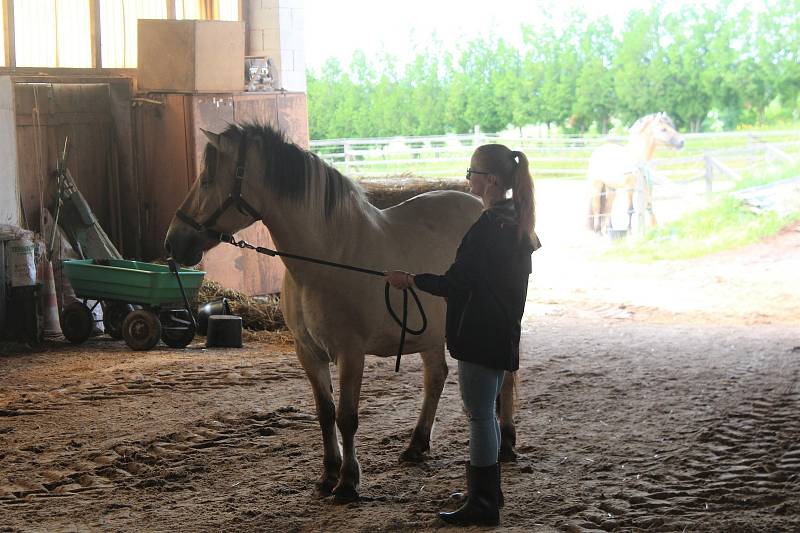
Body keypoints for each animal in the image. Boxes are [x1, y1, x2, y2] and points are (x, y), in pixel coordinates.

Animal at [165, 124, 520, 502]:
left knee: (506, 379)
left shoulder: (350, 353)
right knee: (436, 377)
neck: (328, 257)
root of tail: (483, 207)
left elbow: (347, 416)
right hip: (431, 332)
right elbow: (325, 413)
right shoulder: (308, 353)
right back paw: (417, 445)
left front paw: (348, 482)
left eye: (206, 180)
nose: (173, 242)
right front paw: (328, 475)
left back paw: (506, 444)